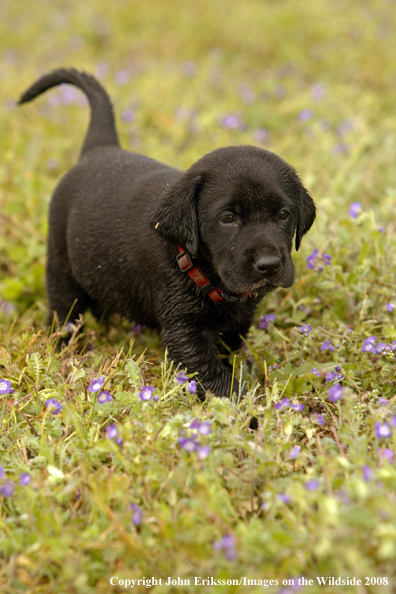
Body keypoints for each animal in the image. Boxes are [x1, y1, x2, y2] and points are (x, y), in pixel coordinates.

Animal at [19, 70, 316, 398]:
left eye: (283, 215)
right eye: (228, 218)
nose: (269, 265)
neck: (197, 265)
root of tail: (100, 148)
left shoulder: (237, 322)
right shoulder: (184, 332)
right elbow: (216, 379)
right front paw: (244, 407)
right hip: (62, 267)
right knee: (64, 312)